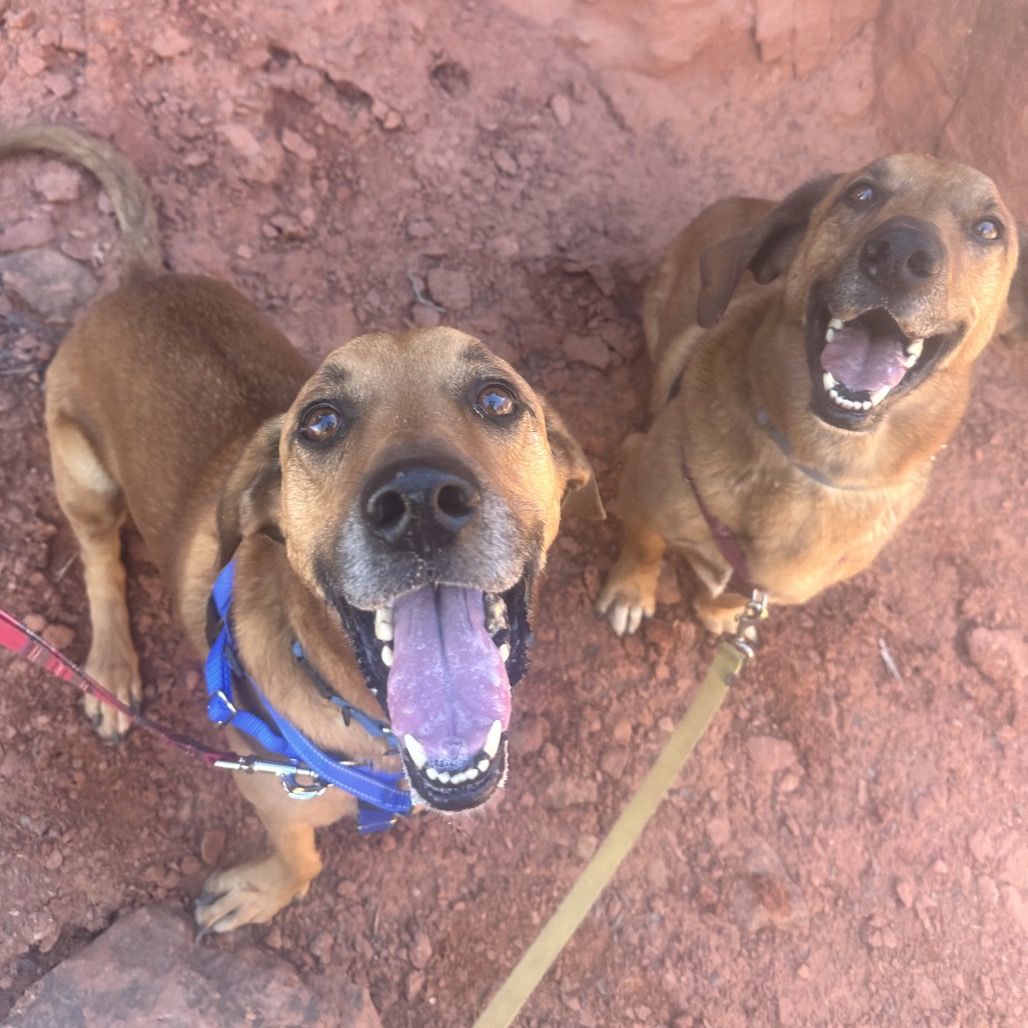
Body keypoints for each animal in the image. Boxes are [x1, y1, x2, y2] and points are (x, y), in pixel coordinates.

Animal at [1, 124, 603, 932]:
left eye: (498, 400)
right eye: (319, 422)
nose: (419, 500)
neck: (376, 725)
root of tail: (137, 281)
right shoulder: (268, 785)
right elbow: (302, 859)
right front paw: (263, 892)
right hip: (82, 472)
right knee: (101, 562)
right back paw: (112, 669)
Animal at [597, 154, 1023, 637]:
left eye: (989, 229)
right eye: (861, 193)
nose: (900, 253)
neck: (815, 463)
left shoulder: (773, 584)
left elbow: (733, 592)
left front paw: (719, 613)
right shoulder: (640, 485)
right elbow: (644, 546)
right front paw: (631, 591)